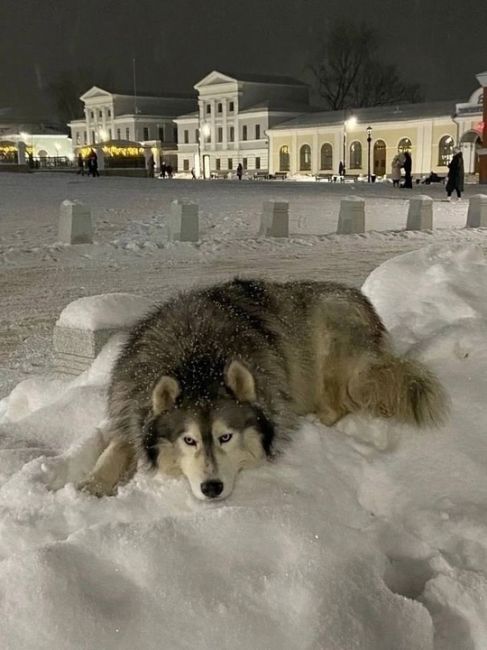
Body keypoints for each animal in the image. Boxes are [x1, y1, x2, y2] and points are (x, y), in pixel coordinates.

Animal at [81, 278, 450, 496]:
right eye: (189, 440)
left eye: (226, 437)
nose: (212, 488)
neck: (196, 357)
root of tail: (362, 301)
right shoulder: (130, 410)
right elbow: (115, 448)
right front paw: (92, 484)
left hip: (331, 351)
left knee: (337, 406)